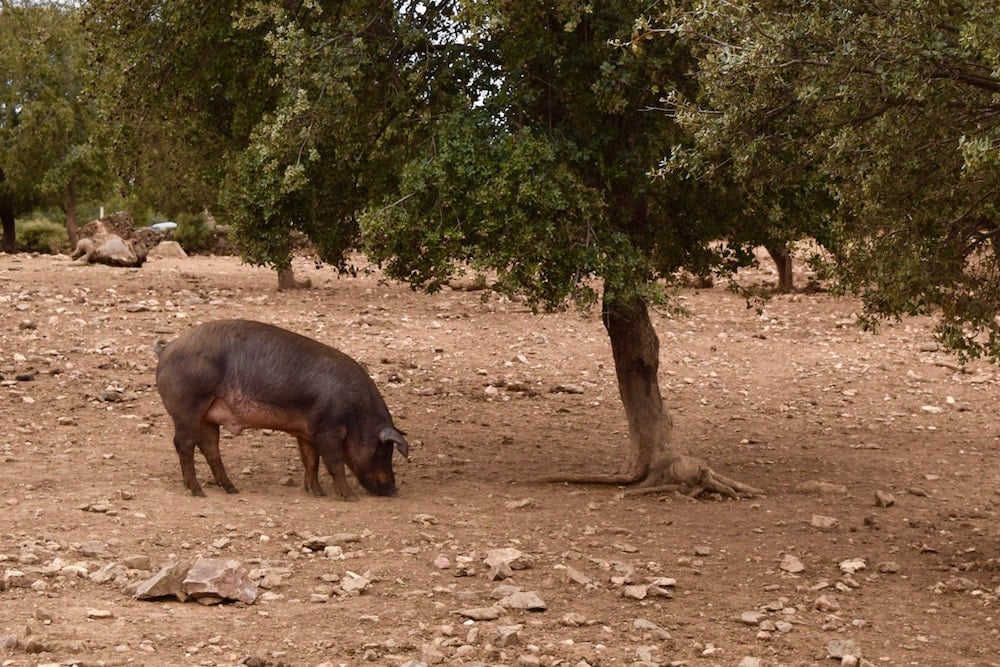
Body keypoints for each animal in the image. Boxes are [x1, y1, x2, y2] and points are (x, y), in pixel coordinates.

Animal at [154, 320, 408, 500]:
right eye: (385, 452)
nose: (394, 489)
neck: (357, 415)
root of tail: (167, 349)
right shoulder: (327, 430)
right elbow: (334, 462)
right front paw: (350, 497)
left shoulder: (306, 432)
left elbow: (310, 461)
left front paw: (317, 492)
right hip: (187, 407)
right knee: (184, 443)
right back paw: (198, 491)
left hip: (208, 415)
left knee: (210, 448)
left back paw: (232, 489)